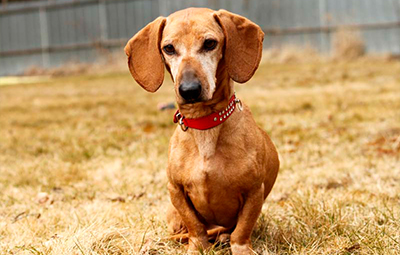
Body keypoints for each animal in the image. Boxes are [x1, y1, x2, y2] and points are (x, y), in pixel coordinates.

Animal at [124, 7, 278, 255]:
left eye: (210, 43)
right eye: (169, 48)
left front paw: (240, 247)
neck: (205, 124)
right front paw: (198, 247)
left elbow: (242, 230)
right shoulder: (175, 190)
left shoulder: (254, 191)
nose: (189, 90)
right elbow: (195, 227)